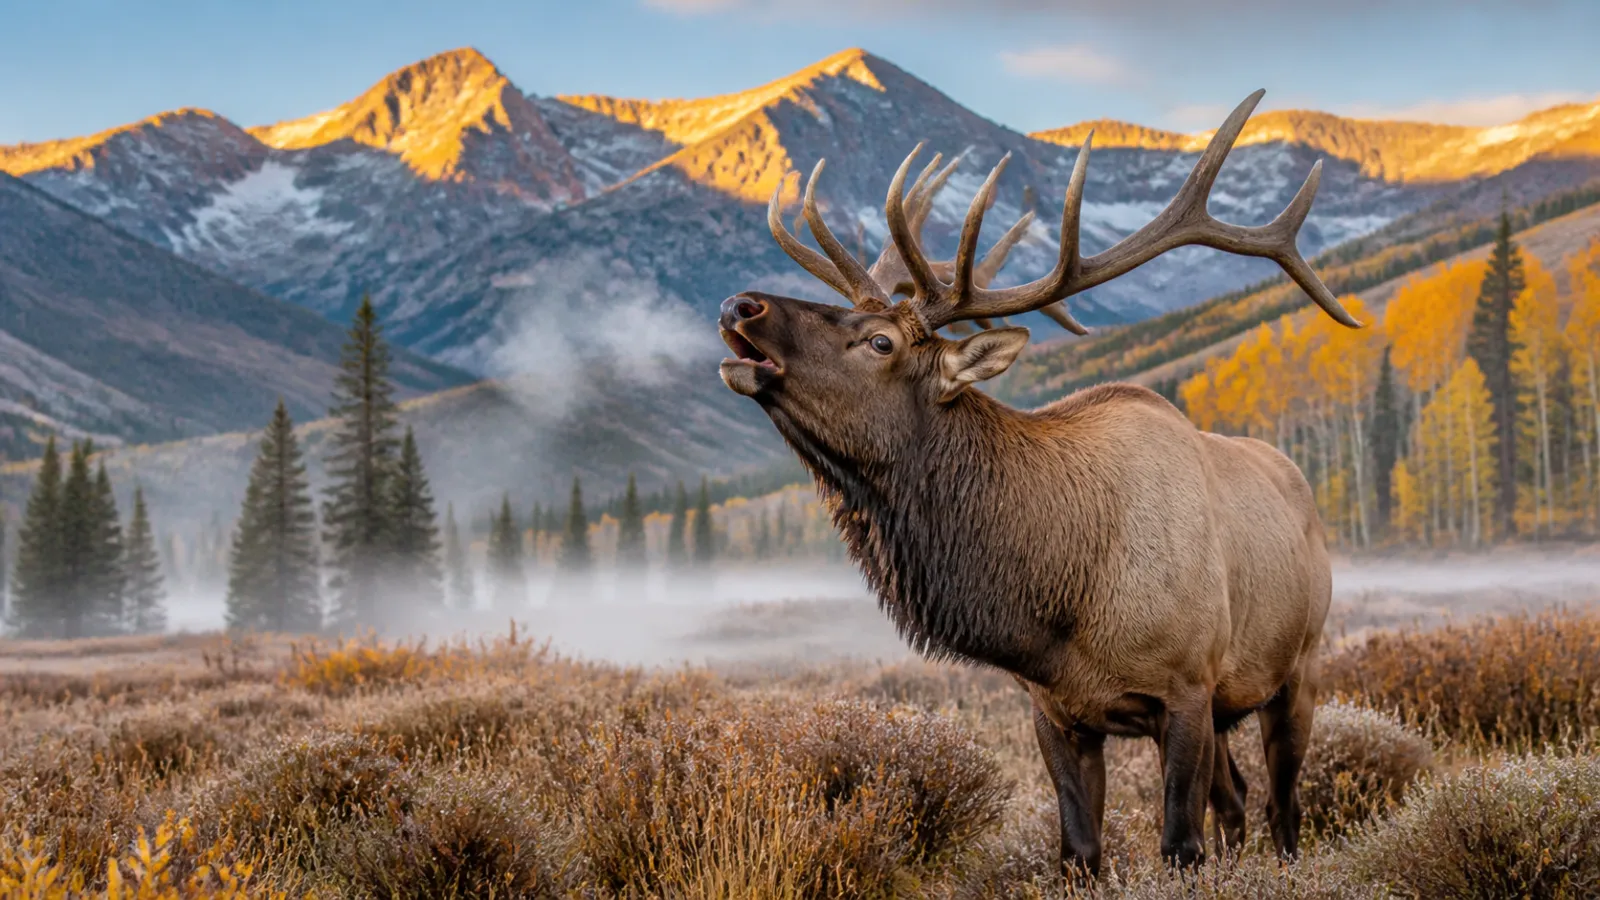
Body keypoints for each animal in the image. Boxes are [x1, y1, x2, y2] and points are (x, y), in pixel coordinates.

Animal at [715, 90, 1359, 876]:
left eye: (880, 341)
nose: (743, 305)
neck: (1062, 599)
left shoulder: (1186, 686)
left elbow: (1180, 845)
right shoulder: (1056, 708)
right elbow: (1079, 850)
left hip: (1298, 665)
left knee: (1282, 803)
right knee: (1236, 799)